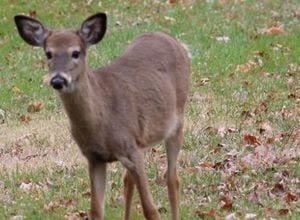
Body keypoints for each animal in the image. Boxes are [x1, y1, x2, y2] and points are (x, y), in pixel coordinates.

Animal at [14, 12, 190, 220]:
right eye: (48, 53)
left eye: (75, 53)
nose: (58, 80)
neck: (101, 119)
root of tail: (174, 40)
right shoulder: (95, 157)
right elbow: (96, 210)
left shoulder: (130, 149)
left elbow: (150, 209)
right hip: (142, 138)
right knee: (128, 180)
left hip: (177, 120)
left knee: (172, 178)